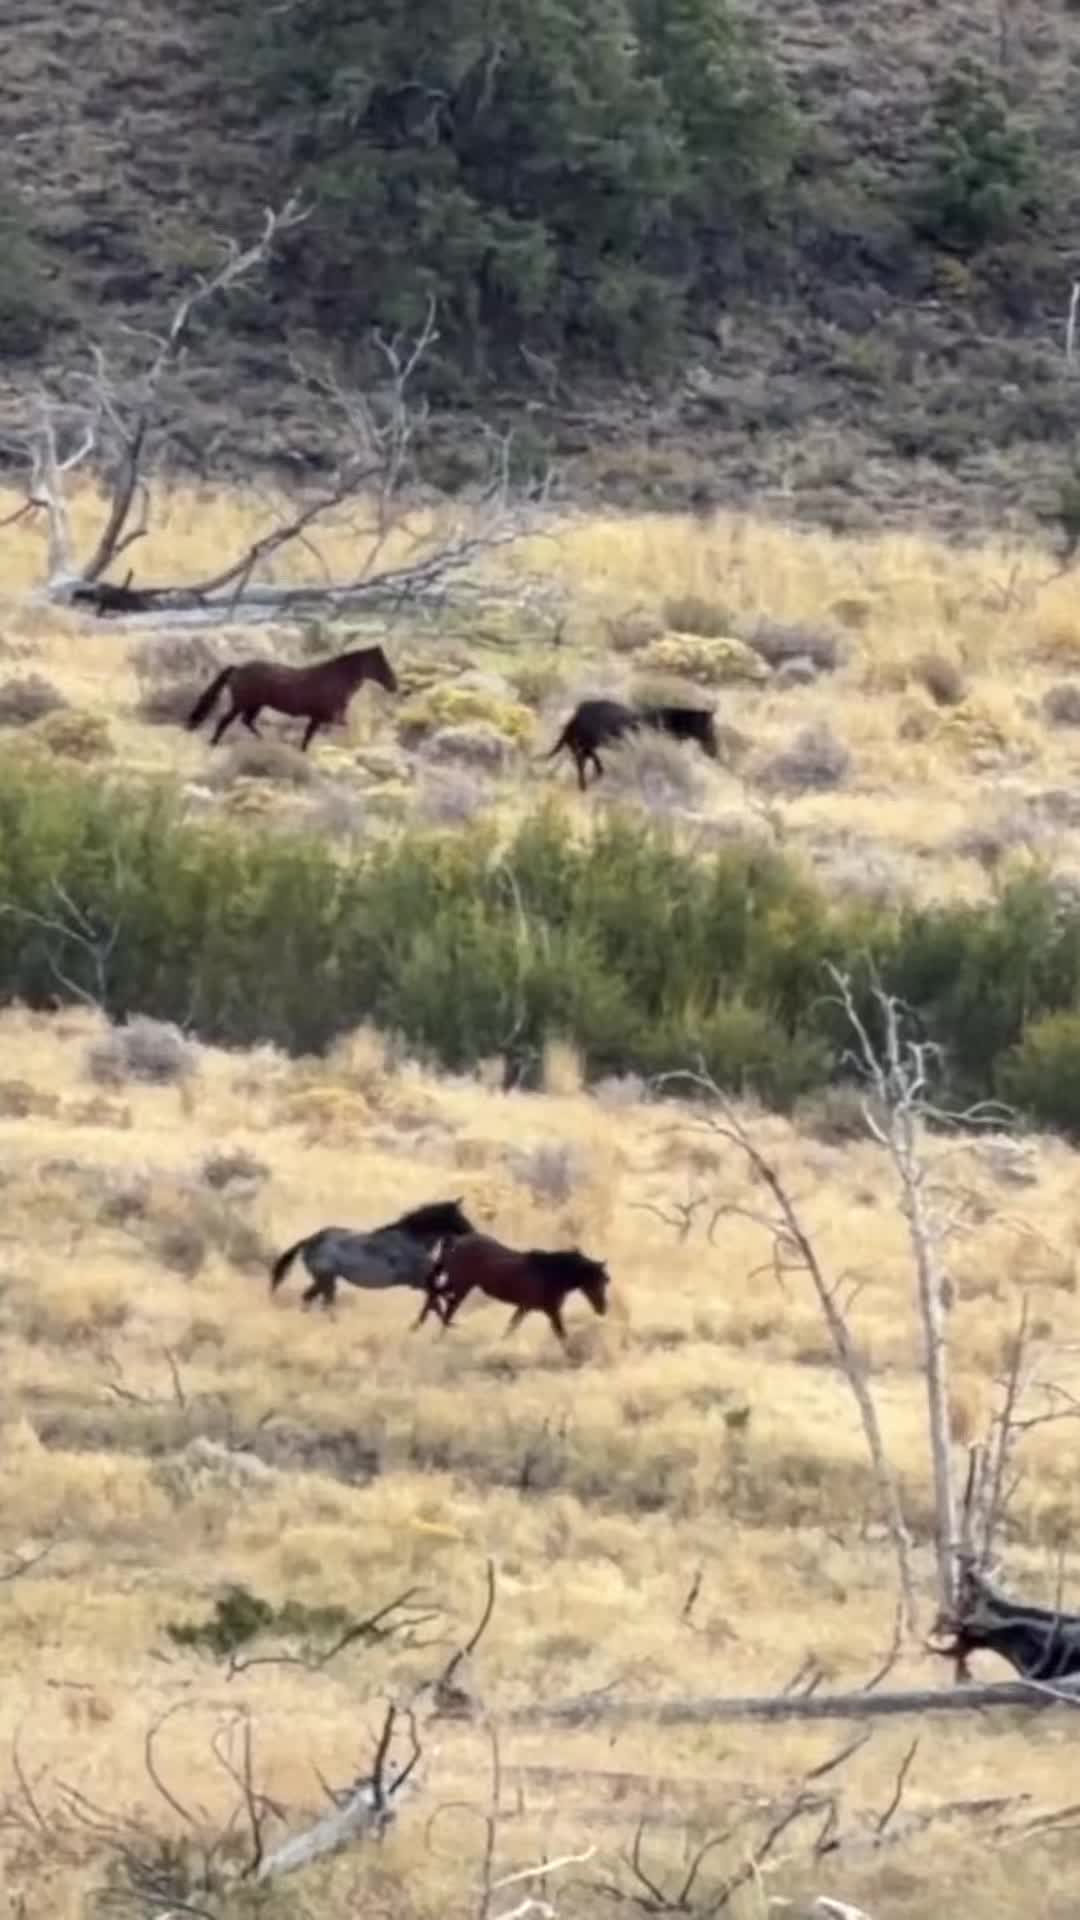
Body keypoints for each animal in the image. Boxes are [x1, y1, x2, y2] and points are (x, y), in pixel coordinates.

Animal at [186, 645, 399, 752]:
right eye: (381, 664)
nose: (394, 685)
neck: (337, 679)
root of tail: (237, 668)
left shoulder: (319, 718)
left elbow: (308, 736)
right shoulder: (328, 717)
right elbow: (314, 734)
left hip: (255, 705)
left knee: (247, 721)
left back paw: (264, 741)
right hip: (242, 703)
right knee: (225, 721)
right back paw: (214, 743)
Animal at [270, 1198, 476, 1311]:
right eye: (460, 1217)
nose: (473, 1232)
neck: (412, 1239)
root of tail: (310, 1241)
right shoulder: (419, 1281)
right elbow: (440, 1294)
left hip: (324, 1280)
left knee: (309, 1298)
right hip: (326, 1280)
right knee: (324, 1303)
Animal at [414, 1232, 610, 1346]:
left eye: (605, 1281)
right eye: (596, 1281)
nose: (602, 1309)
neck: (550, 1274)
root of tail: (456, 1241)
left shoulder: (532, 1309)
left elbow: (511, 1328)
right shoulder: (543, 1310)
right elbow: (561, 1335)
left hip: (460, 1284)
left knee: (436, 1296)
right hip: (461, 1285)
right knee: (441, 1301)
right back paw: (427, 1330)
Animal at [543, 698, 719, 791]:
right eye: (710, 728)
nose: (714, 751)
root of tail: (578, 711)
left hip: (589, 743)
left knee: (586, 758)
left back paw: (597, 774)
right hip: (586, 742)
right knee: (582, 759)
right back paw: (586, 783)